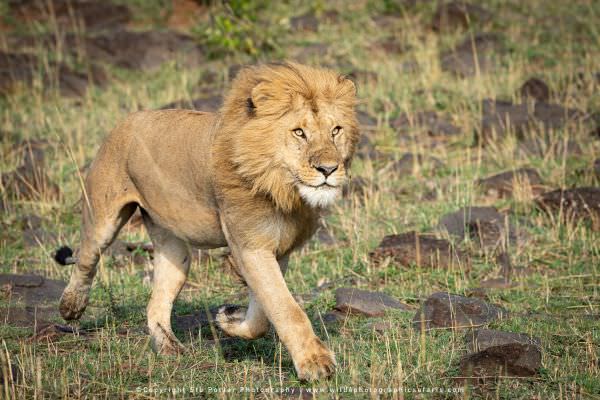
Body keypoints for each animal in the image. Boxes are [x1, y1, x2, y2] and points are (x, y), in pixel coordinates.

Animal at [55, 62, 356, 382]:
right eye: (299, 132)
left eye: (336, 130)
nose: (329, 169)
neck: (283, 188)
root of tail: (128, 119)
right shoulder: (250, 246)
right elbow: (285, 308)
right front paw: (315, 364)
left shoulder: (278, 248)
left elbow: (263, 314)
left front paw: (229, 319)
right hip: (102, 216)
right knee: (86, 257)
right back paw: (71, 306)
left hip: (175, 250)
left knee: (157, 301)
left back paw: (169, 348)